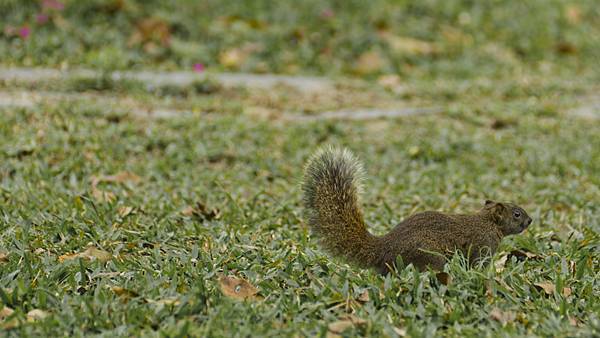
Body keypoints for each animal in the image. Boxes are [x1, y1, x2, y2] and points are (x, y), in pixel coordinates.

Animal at [302, 147, 532, 274]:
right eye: (517, 214)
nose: (530, 221)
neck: (487, 222)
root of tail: (384, 247)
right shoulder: (483, 247)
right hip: (430, 256)